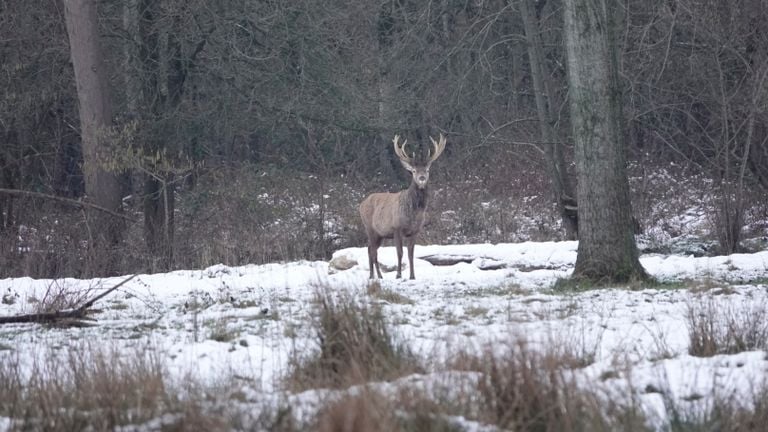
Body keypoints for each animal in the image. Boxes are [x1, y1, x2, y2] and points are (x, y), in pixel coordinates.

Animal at [358, 132, 448, 280]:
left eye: (427, 169)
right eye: (413, 171)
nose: (422, 178)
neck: (413, 213)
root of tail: (361, 204)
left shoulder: (415, 231)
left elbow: (411, 254)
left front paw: (412, 276)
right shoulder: (396, 228)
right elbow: (399, 252)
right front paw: (398, 275)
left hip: (380, 234)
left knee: (370, 249)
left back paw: (375, 276)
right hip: (369, 228)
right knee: (372, 250)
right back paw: (376, 276)